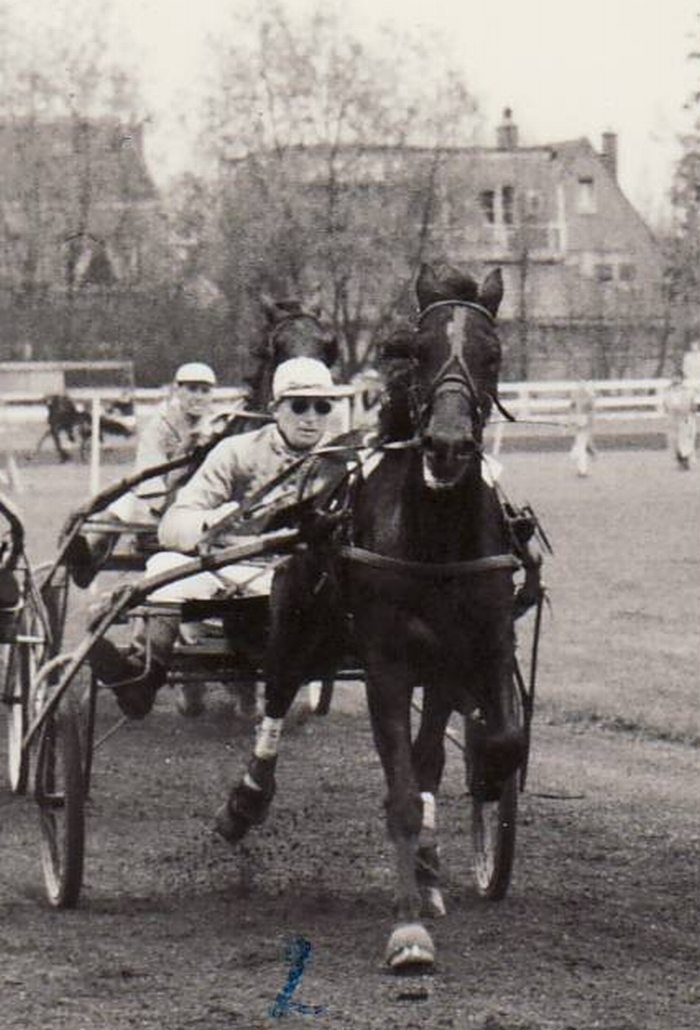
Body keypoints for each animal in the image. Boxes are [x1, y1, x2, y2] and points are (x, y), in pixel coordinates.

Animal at [217, 262, 527, 972]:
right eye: (418, 351)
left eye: (492, 354)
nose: (447, 445)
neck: (436, 537)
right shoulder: (387, 661)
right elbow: (401, 792)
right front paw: (408, 928)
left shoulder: (469, 650)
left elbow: (484, 744)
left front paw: (476, 798)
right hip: (297, 616)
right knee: (277, 692)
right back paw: (246, 800)